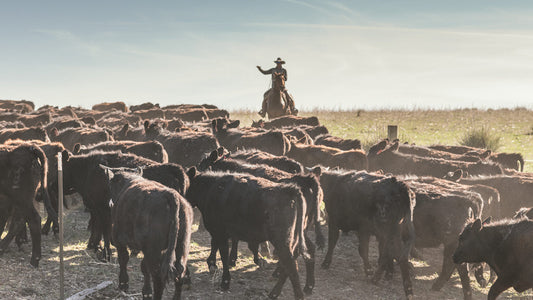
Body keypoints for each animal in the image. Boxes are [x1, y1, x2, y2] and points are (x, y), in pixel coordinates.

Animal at [186, 168, 310, 298]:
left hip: (280, 240)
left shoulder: (220, 232)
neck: (210, 188)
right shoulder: (222, 233)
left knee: (291, 265)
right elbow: (217, 245)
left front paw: (225, 281)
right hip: (291, 240)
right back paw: (274, 293)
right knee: (289, 264)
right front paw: (213, 264)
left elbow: (223, 254)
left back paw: (296, 295)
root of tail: (289, 190)